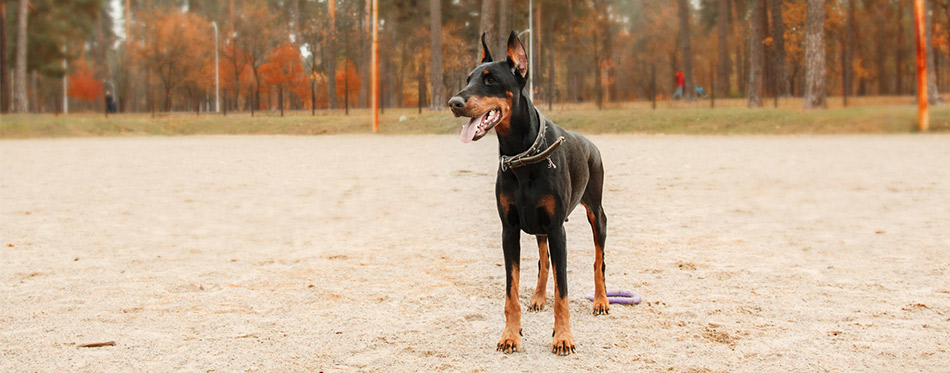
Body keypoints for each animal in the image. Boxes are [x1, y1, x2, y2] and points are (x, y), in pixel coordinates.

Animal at [448, 32, 608, 354]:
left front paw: (563, 337)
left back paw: (601, 301)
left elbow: (563, 292)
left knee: (599, 260)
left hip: (596, 214)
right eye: (469, 78)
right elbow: (511, 291)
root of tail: (591, 145)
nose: (453, 102)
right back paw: (537, 297)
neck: (521, 154)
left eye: (490, 79)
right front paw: (511, 335)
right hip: (539, 226)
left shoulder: (558, 229)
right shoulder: (509, 229)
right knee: (543, 262)